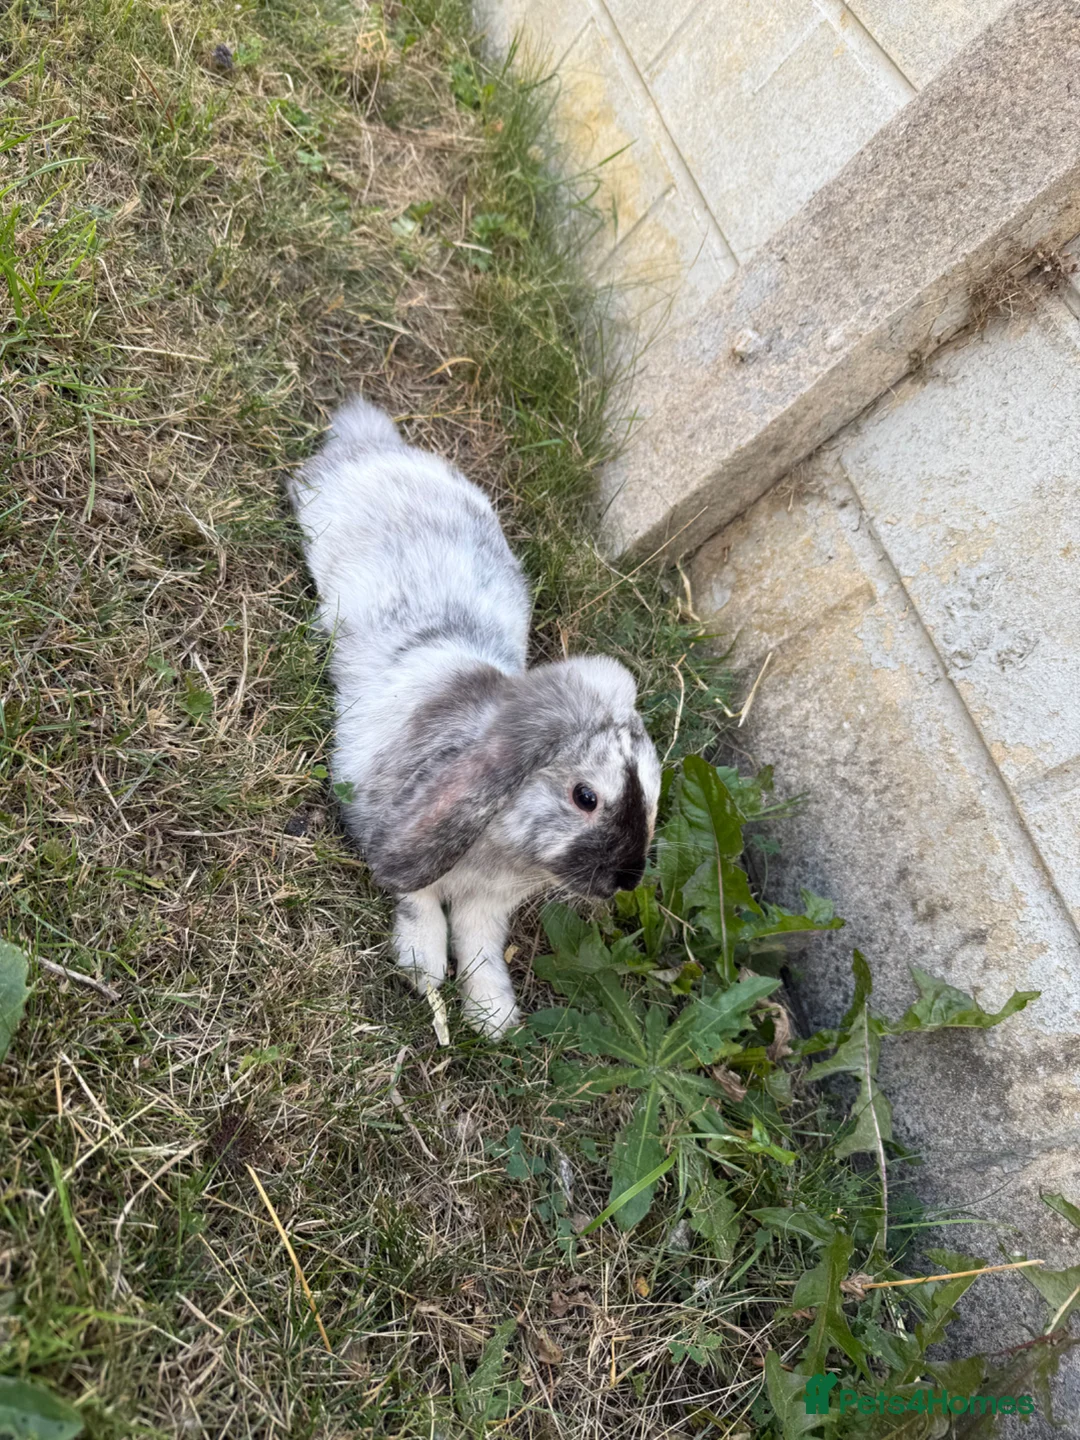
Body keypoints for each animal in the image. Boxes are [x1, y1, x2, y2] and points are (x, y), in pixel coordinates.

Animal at [288, 396, 661, 1037]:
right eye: (585, 797)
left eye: (656, 803)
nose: (625, 881)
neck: (500, 843)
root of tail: (378, 445)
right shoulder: (398, 840)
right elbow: (421, 912)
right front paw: (425, 978)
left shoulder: (488, 907)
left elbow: (481, 950)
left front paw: (494, 1019)